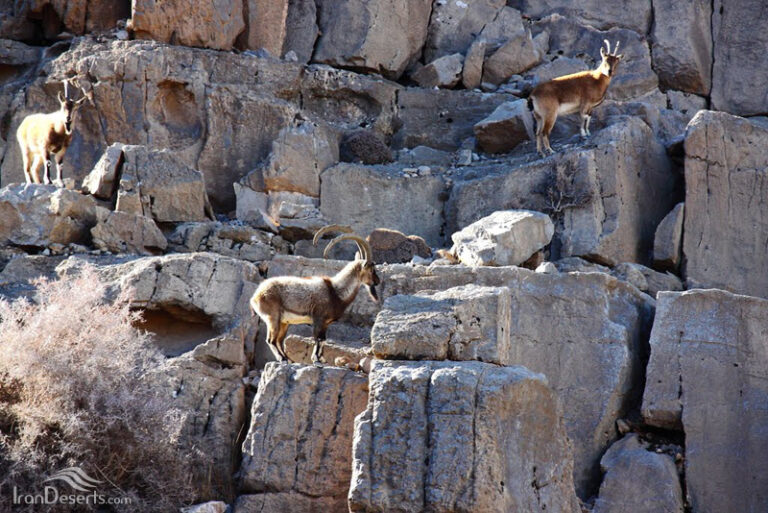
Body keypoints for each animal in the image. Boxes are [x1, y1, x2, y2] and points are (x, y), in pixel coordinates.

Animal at [250, 225, 380, 364]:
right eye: (372, 269)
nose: (377, 281)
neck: (336, 291)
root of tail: (256, 295)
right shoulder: (319, 318)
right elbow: (318, 338)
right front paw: (316, 359)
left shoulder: (326, 323)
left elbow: (323, 339)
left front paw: (320, 358)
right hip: (273, 317)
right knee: (271, 340)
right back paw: (282, 359)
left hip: (284, 322)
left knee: (279, 340)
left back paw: (288, 359)